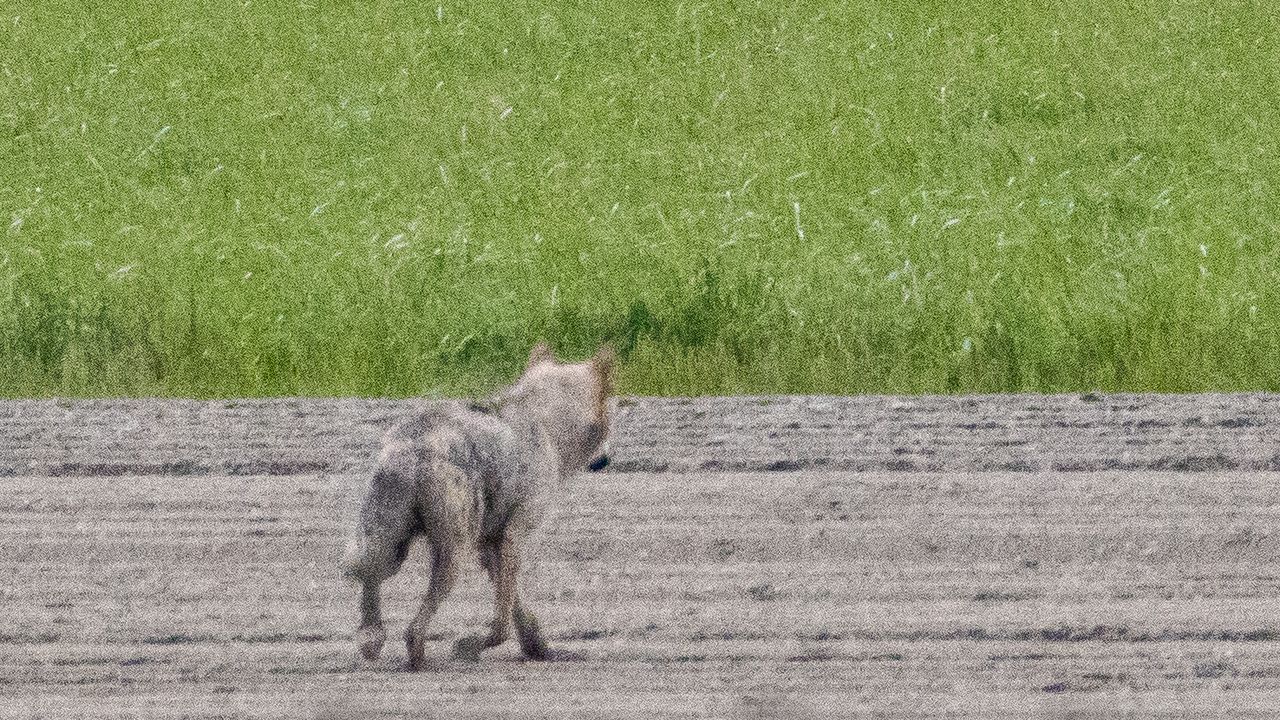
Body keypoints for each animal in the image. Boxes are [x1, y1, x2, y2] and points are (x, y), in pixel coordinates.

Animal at [342, 342, 615, 669]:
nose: (606, 460)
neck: (546, 423)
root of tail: (415, 450)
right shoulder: (513, 534)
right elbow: (502, 619)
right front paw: (470, 645)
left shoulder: (490, 539)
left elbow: (514, 605)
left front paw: (539, 648)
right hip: (455, 547)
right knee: (416, 623)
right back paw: (419, 657)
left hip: (389, 543)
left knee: (369, 578)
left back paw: (371, 639)